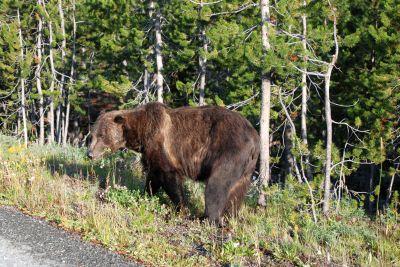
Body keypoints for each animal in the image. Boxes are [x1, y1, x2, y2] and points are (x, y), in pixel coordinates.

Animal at [87, 102, 260, 224]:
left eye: (101, 135)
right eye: (92, 135)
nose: (89, 154)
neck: (140, 131)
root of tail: (255, 138)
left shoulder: (163, 146)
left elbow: (170, 178)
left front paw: (181, 208)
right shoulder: (151, 154)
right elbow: (153, 178)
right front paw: (144, 195)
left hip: (228, 151)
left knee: (216, 185)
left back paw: (208, 218)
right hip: (246, 168)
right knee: (237, 191)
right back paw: (230, 216)